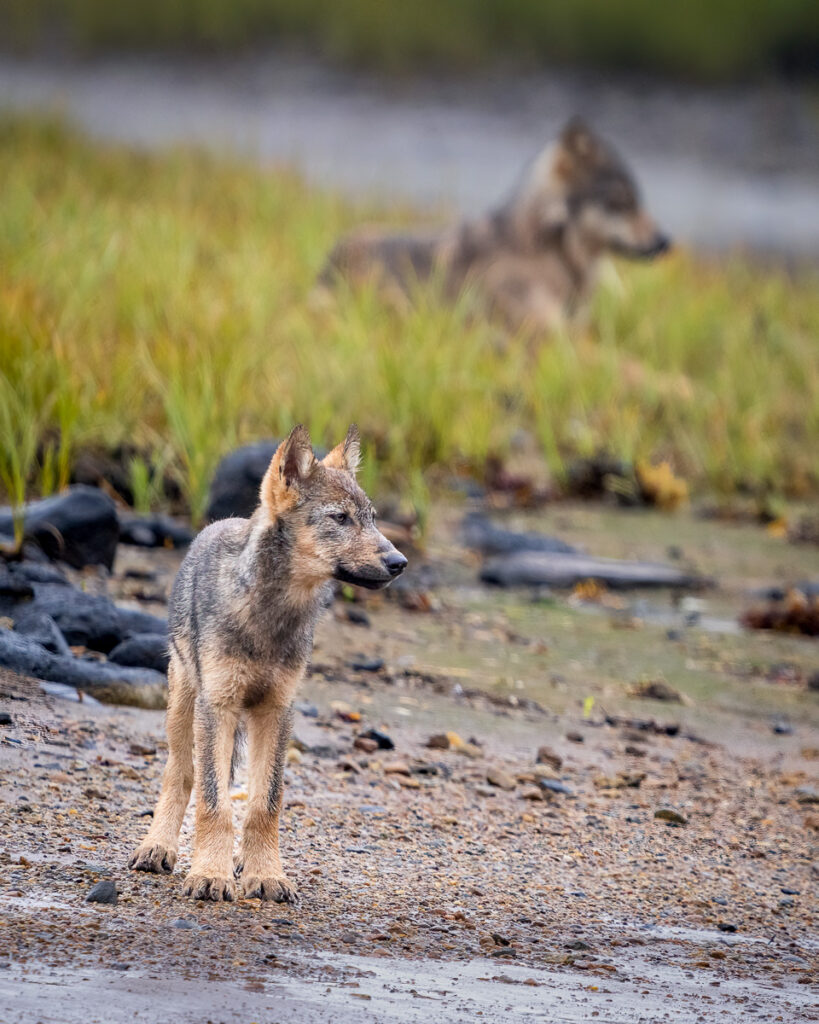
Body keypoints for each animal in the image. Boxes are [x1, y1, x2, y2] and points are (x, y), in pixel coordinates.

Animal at [129, 425, 406, 902]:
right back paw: (158, 848)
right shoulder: (219, 706)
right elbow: (214, 803)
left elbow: (265, 803)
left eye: (371, 518)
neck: (271, 618)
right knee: (180, 775)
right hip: (185, 708)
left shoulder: (277, 709)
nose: (399, 562)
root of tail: (219, 522)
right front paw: (209, 874)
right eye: (340, 519)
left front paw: (265, 874)